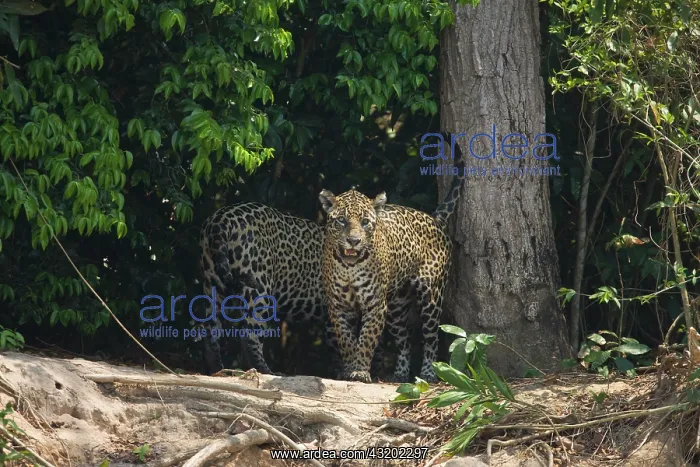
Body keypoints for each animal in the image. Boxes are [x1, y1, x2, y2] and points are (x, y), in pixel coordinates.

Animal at [319, 131, 465, 384]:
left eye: (365, 222)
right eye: (341, 221)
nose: (354, 241)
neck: (349, 266)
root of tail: (435, 218)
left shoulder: (375, 303)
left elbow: (367, 339)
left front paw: (360, 371)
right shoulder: (338, 305)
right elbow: (347, 341)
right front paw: (349, 369)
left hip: (431, 295)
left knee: (430, 337)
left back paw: (428, 373)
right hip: (397, 305)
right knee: (404, 339)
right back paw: (400, 373)